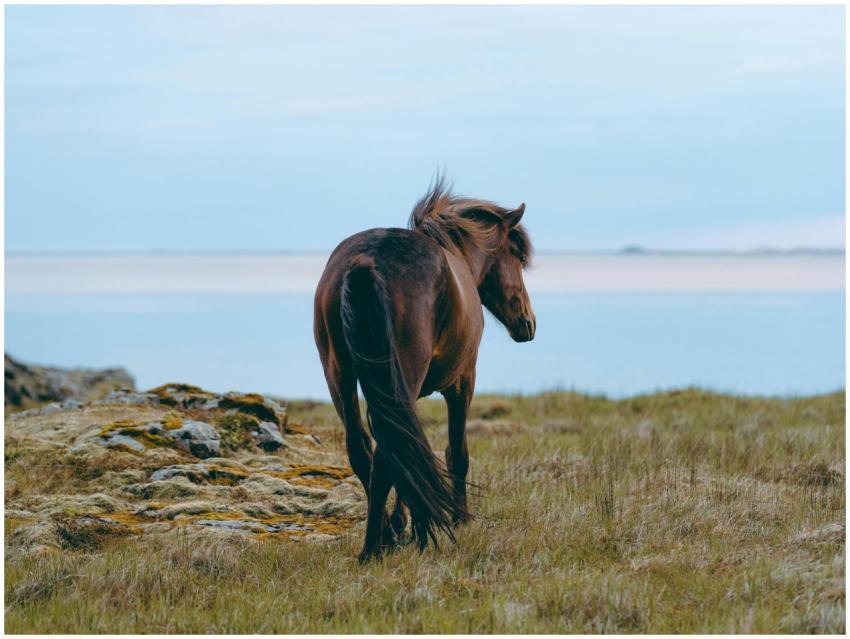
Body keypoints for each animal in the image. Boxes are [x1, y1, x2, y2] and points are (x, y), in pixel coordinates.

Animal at [313, 178, 536, 562]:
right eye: (518, 257)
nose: (528, 322)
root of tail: (365, 261)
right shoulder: (462, 382)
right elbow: (456, 452)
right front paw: (460, 518)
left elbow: (410, 449)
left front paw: (401, 520)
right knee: (385, 455)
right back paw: (374, 547)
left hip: (340, 375)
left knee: (364, 450)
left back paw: (383, 536)